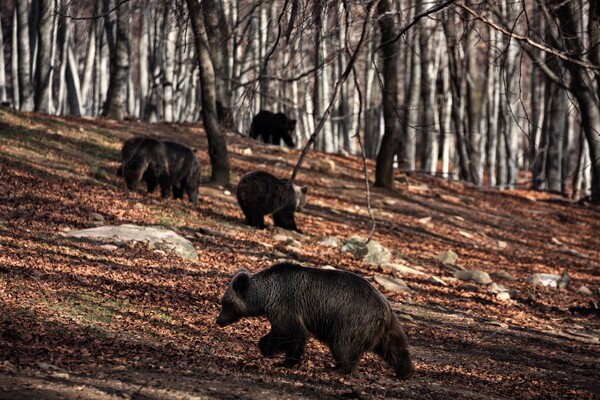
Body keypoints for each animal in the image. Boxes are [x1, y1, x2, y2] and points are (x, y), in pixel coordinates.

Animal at [217, 260, 418, 380]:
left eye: (226, 303)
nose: (218, 321)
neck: (266, 295)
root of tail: (384, 308)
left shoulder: (285, 304)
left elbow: (290, 332)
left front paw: (268, 349)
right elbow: (297, 338)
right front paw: (287, 361)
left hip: (351, 320)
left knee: (343, 345)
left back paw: (337, 368)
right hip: (388, 327)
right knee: (395, 348)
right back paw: (405, 371)